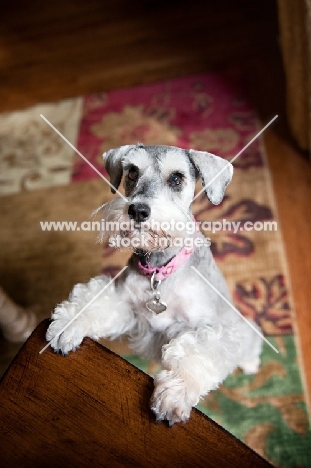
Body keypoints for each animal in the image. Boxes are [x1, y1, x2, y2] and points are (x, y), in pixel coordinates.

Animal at [47, 144, 264, 426]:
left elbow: (198, 352)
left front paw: (176, 394)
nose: (138, 210)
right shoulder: (125, 303)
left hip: (240, 325)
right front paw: (69, 324)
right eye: (132, 172)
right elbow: (95, 303)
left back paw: (250, 363)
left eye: (176, 178)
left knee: (250, 340)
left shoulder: (208, 328)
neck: (160, 269)